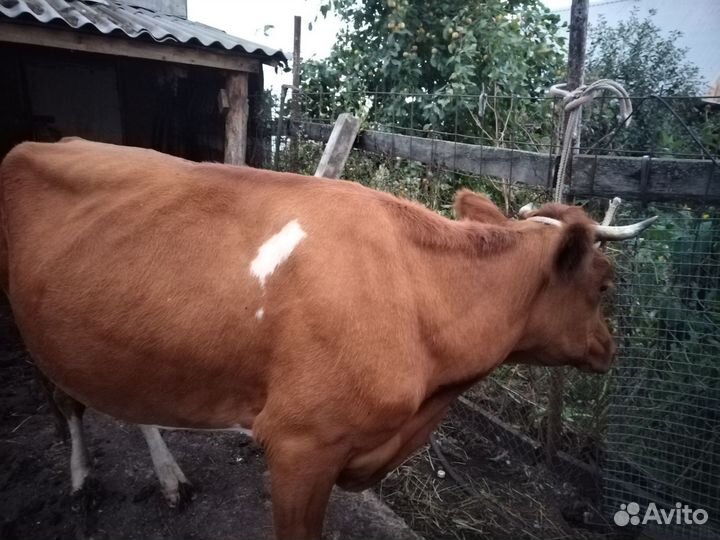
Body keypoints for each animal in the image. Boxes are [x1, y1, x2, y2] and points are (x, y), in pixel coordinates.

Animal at [0, 138, 655, 540]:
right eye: (605, 283)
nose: (611, 348)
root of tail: (48, 142)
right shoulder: (301, 443)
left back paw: (169, 479)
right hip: (29, 319)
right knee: (65, 400)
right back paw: (82, 481)